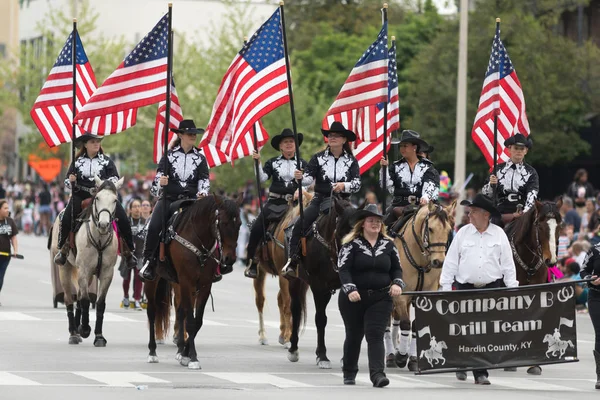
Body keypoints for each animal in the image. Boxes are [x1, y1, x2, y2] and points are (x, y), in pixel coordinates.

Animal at [144, 194, 240, 368]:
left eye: (240, 224)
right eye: (223, 223)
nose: (229, 259)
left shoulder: (204, 285)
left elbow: (197, 321)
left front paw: (185, 354)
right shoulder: (187, 281)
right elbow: (190, 320)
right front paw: (193, 358)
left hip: (179, 284)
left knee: (180, 311)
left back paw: (179, 348)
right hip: (152, 281)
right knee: (152, 312)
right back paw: (152, 352)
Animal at [253, 191, 314, 346]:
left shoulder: (301, 281)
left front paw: (288, 335)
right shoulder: (283, 275)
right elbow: (288, 304)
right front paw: (288, 337)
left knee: (279, 299)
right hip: (260, 272)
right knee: (260, 301)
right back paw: (263, 336)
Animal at [286, 196, 356, 368]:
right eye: (340, 231)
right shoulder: (318, 287)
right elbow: (320, 319)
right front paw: (322, 356)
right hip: (295, 281)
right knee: (296, 310)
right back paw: (293, 349)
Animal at [390, 203, 454, 372]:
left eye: (449, 230)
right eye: (430, 229)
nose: (439, 262)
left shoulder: (426, 294)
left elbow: (415, 325)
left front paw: (412, 359)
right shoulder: (401, 294)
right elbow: (406, 323)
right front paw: (401, 357)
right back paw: (391, 355)